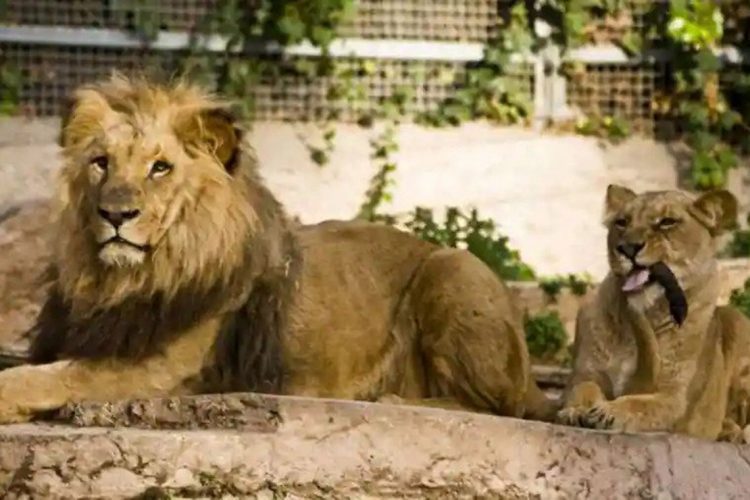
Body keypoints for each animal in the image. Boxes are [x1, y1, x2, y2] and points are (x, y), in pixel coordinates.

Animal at [0, 75, 556, 424]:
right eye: (101, 163)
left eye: (160, 168)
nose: (116, 214)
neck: (122, 280)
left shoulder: (159, 368)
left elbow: (44, 379)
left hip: (453, 267)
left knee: (500, 408)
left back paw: (394, 399)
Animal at [558, 184, 750, 442]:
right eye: (622, 222)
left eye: (667, 222)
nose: (627, 248)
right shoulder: (584, 373)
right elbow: (583, 389)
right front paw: (577, 410)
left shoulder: (676, 400)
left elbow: (642, 405)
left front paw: (609, 412)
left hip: (736, 323)